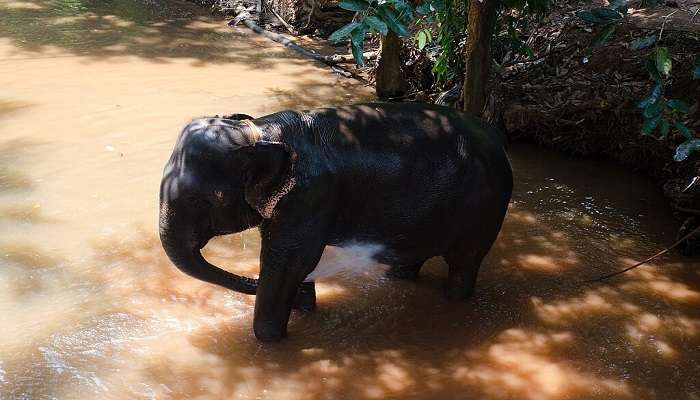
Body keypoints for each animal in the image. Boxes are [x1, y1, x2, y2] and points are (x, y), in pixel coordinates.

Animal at [160, 102, 516, 340]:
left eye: (200, 200)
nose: (305, 301)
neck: (261, 132)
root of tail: (498, 140)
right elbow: (293, 262)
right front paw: (304, 306)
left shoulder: (310, 197)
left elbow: (289, 261)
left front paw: (271, 337)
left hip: (484, 207)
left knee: (464, 262)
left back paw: (454, 298)